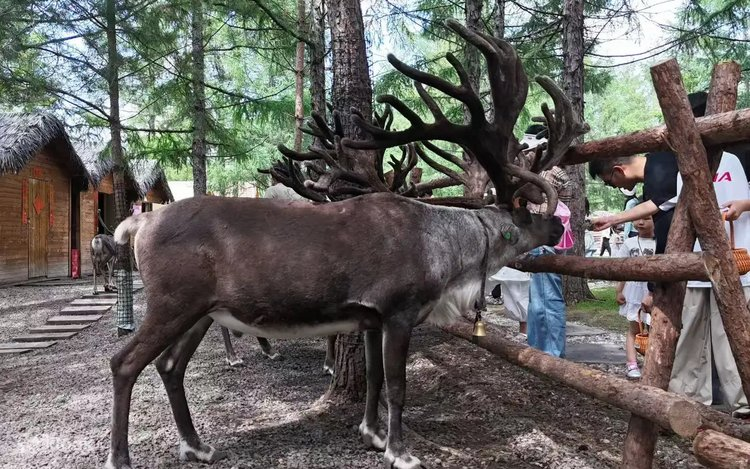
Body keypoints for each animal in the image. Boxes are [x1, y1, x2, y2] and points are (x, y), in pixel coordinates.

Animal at [104, 20, 587, 469]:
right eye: (528, 212)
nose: (558, 227)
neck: (446, 255)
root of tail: (140, 223)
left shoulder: (369, 317)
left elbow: (373, 377)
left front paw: (370, 434)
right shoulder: (398, 310)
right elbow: (398, 385)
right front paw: (399, 451)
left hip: (201, 311)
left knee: (170, 365)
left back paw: (196, 445)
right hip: (173, 303)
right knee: (124, 362)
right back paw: (121, 457)